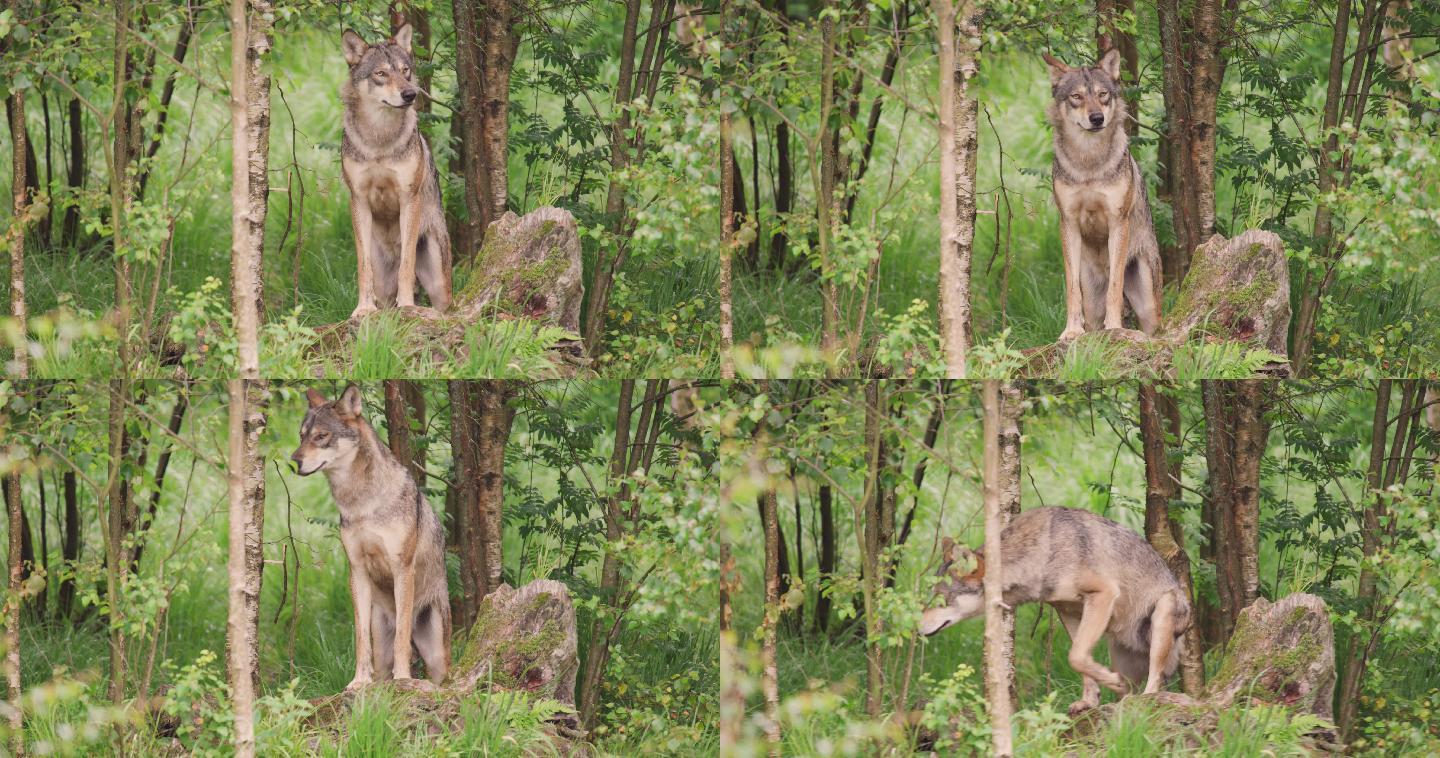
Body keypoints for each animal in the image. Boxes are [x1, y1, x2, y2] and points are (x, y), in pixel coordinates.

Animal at [290, 389, 449, 691]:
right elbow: (360, 639)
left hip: (437, 657)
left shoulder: (402, 568)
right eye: (301, 436)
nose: (295, 462)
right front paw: (358, 682)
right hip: (382, 639)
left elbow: (402, 640)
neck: (362, 503)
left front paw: (403, 679)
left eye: (321, 436)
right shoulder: (357, 571)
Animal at [338, 25, 446, 319]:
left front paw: (407, 305)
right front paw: (362, 309)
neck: (380, 140)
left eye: (405, 70)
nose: (410, 94)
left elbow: (406, 265)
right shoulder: (359, 199)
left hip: (440, 283)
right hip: (383, 285)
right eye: (381, 74)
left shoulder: (409, 197)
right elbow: (362, 267)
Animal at [921, 507, 1192, 717]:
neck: (1043, 552)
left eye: (940, 599)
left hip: (1162, 617)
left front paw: (1110, 683)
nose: (916, 627)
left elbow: (1076, 656)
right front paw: (1089, 701)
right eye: (928, 597)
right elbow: (1080, 659)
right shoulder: (1068, 611)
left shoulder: (1102, 594)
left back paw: (1142, 699)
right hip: (1119, 652)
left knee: (1156, 680)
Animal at [1042, 49, 1163, 341]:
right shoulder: (1068, 223)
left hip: (1149, 308)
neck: (1089, 162)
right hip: (1093, 302)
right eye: (1076, 97)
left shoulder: (1118, 221)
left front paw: (1115, 327)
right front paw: (1071, 331)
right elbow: (1071, 289)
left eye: (1103, 94)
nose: (1097, 118)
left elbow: (1115, 289)